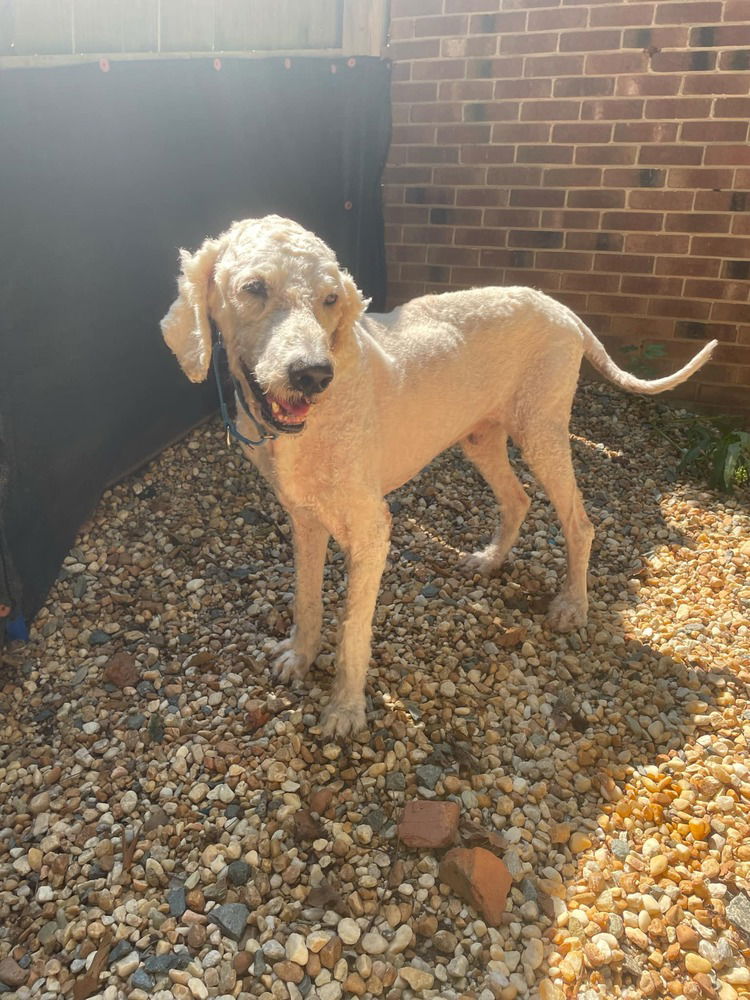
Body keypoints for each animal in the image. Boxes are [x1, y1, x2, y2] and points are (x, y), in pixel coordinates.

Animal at [163, 217, 716, 736]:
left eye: (330, 298)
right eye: (254, 287)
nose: (313, 375)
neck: (308, 428)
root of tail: (562, 309)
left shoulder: (371, 530)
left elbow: (353, 630)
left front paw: (345, 710)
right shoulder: (304, 517)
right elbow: (306, 599)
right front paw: (299, 657)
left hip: (541, 430)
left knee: (579, 523)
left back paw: (571, 606)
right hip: (481, 436)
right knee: (518, 500)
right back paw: (491, 560)